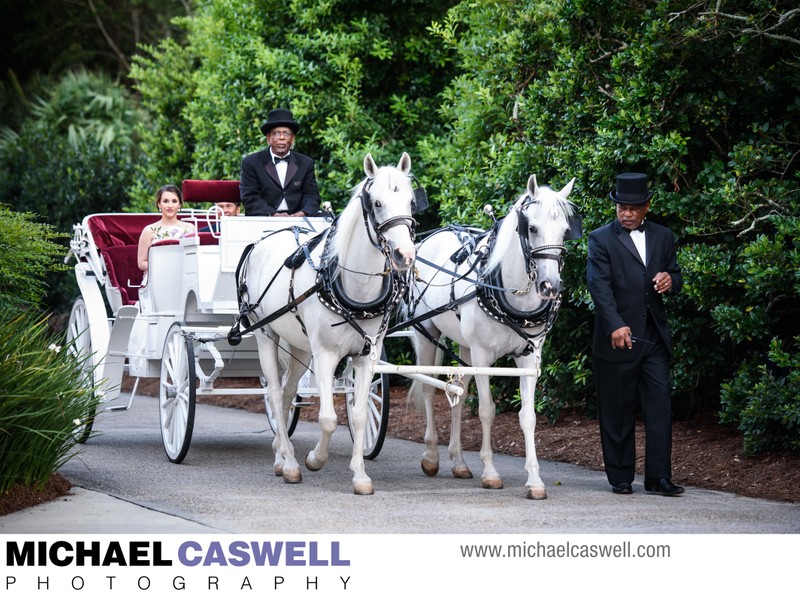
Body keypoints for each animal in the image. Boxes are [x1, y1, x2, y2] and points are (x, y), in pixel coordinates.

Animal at [238, 152, 418, 494]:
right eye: (376, 203)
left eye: (411, 201)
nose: (405, 255)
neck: (353, 285)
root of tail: (262, 241)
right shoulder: (324, 356)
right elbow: (328, 418)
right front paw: (314, 459)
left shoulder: (366, 355)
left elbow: (359, 415)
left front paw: (360, 475)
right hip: (265, 334)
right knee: (274, 394)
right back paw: (291, 464)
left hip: (299, 346)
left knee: (286, 393)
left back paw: (281, 455)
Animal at [410, 175, 580, 500]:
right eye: (532, 228)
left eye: (566, 230)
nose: (550, 286)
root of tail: (431, 237)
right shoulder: (482, 355)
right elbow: (487, 411)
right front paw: (490, 472)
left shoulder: (529, 356)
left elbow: (528, 416)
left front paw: (534, 480)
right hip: (427, 333)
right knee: (427, 389)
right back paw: (431, 456)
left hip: (463, 347)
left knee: (458, 393)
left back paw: (459, 462)